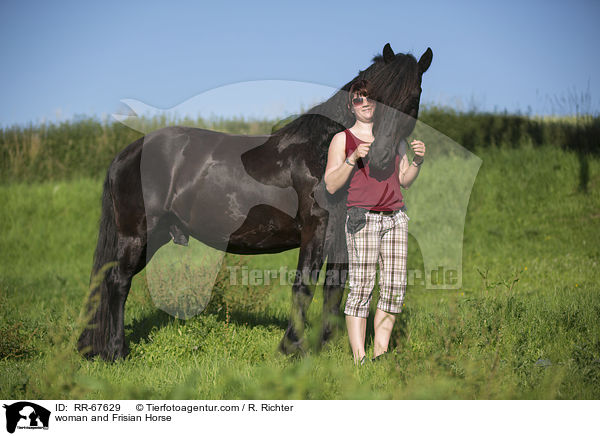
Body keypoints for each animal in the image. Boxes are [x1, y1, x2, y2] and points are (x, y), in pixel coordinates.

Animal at [77, 42, 432, 360]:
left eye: (412, 97)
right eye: (375, 98)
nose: (380, 157)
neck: (324, 151)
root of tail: (128, 152)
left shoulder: (344, 234)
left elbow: (335, 288)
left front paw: (324, 349)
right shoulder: (317, 227)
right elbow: (304, 286)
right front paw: (291, 348)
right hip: (137, 234)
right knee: (117, 282)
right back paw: (116, 352)